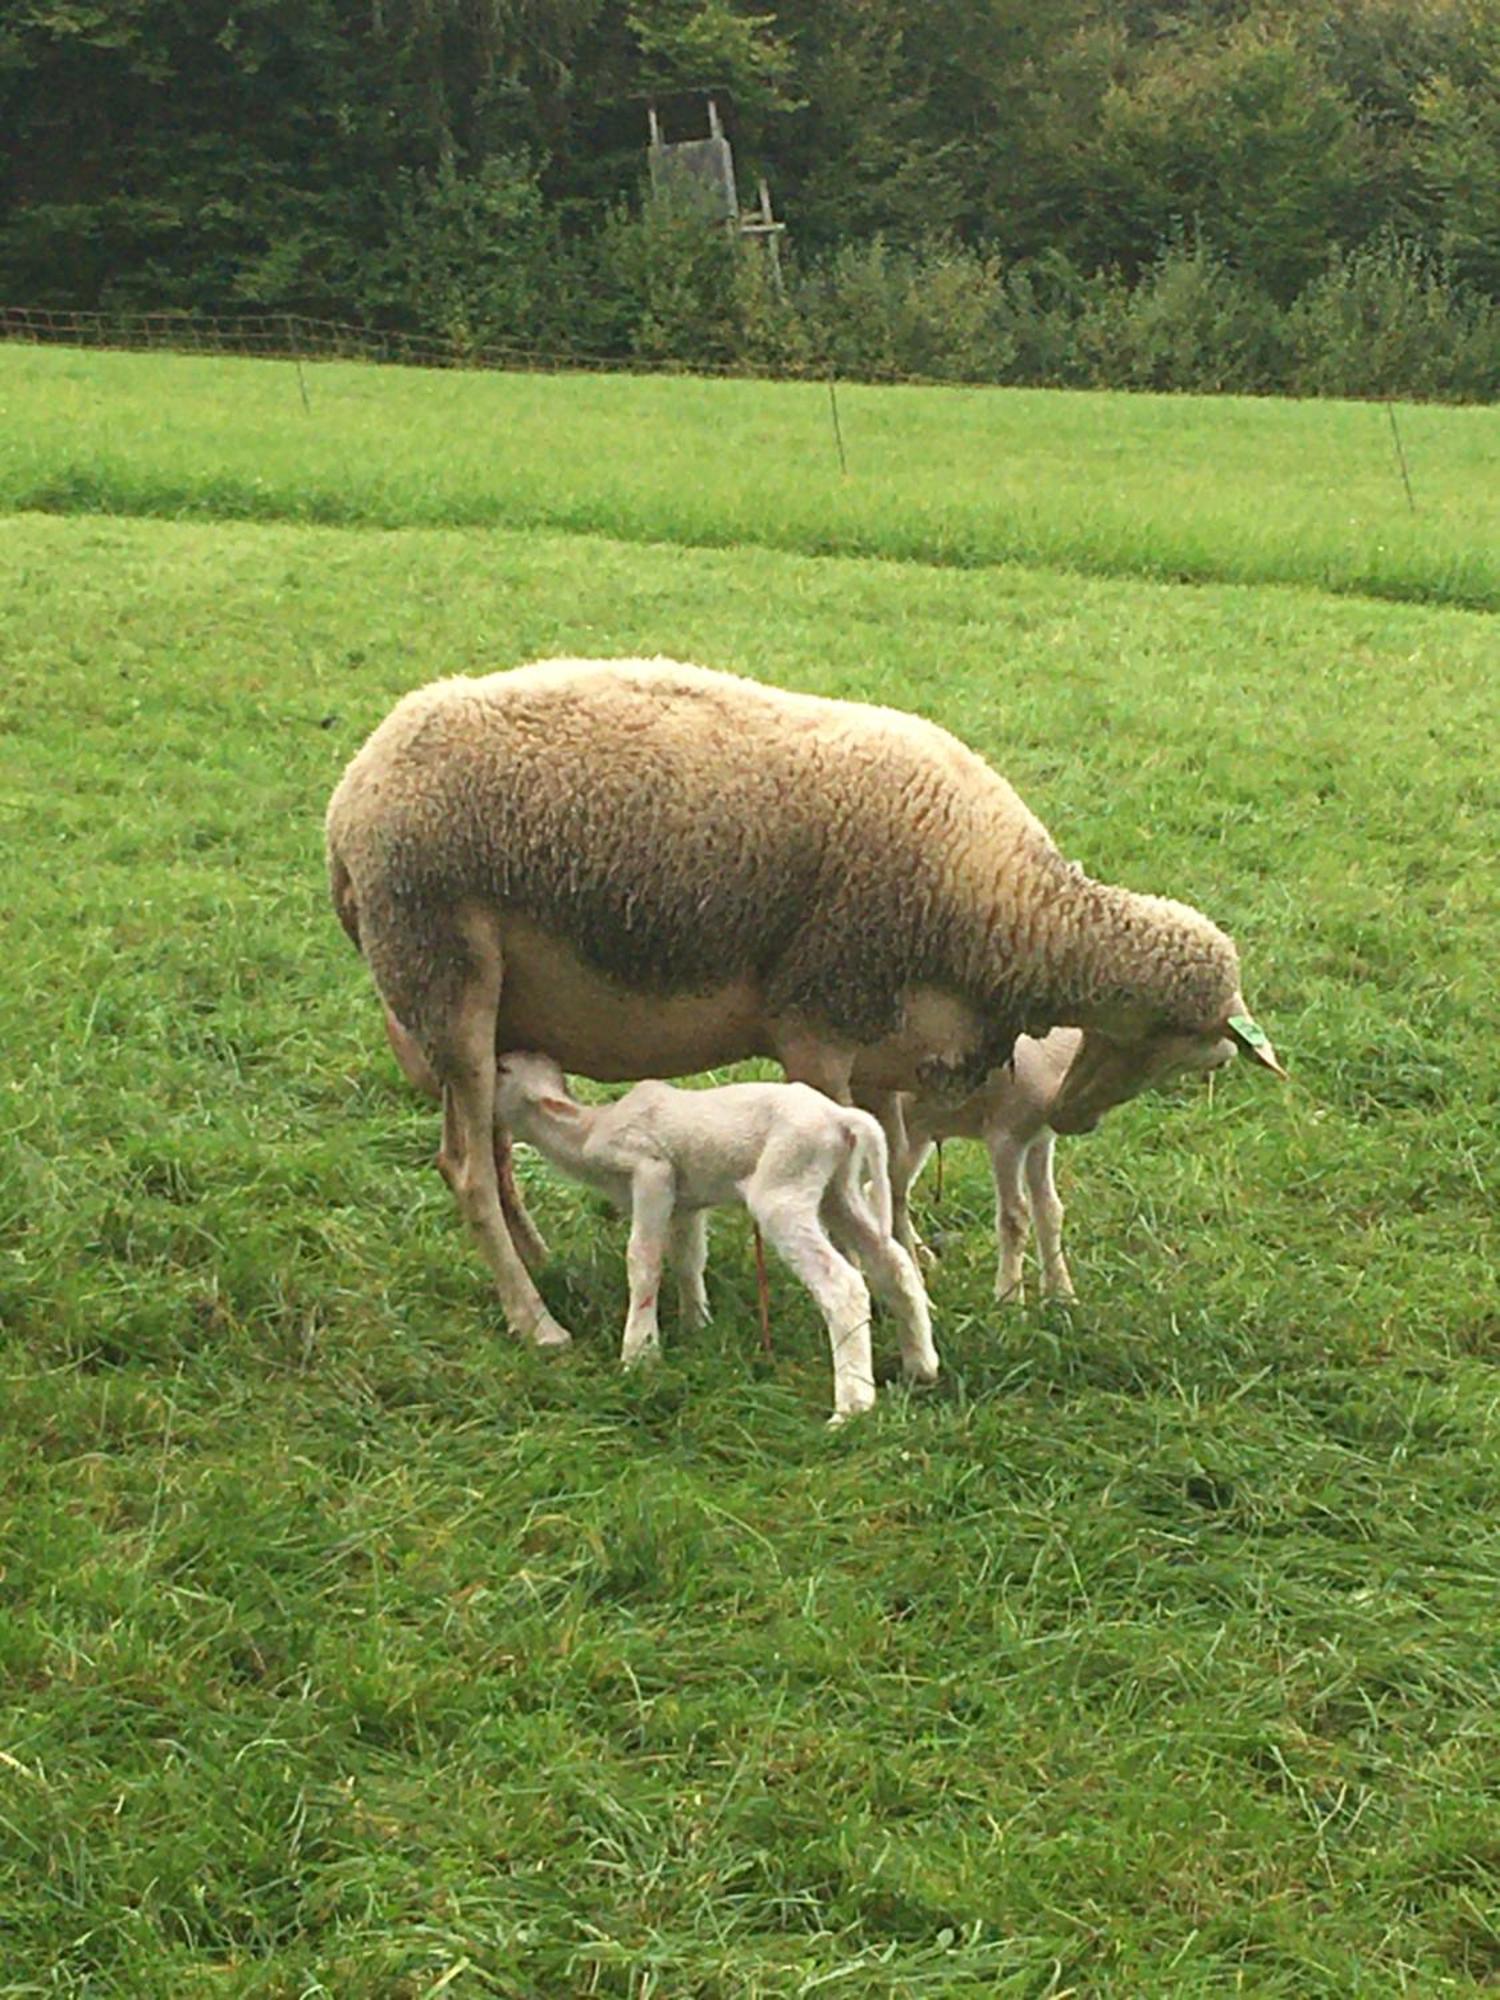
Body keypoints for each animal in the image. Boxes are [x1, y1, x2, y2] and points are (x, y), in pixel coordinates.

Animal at [326, 656, 1280, 1344]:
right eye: (1178, 1040)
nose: (1075, 1117)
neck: (1004, 903)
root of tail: (349, 798)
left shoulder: (888, 1042)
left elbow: (895, 1173)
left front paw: (911, 1259)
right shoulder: (818, 1022)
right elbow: (860, 1175)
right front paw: (889, 1283)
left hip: (481, 1013)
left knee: (490, 1151)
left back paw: (543, 1266)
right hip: (442, 974)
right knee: (463, 1169)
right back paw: (537, 1322)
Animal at [494, 1048, 940, 1424]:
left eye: (502, 1068)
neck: (587, 1132)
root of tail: (844, 1120)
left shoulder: (651, 1170)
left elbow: (643, 1260)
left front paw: (638, 1354)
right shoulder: (686, 1201)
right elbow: (689, 1260)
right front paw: (698, 1326)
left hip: (785, 1185)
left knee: (843, 1285)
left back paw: (851, 1407)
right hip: (838, 1189)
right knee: (894, 1264)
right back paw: (920, 1365)